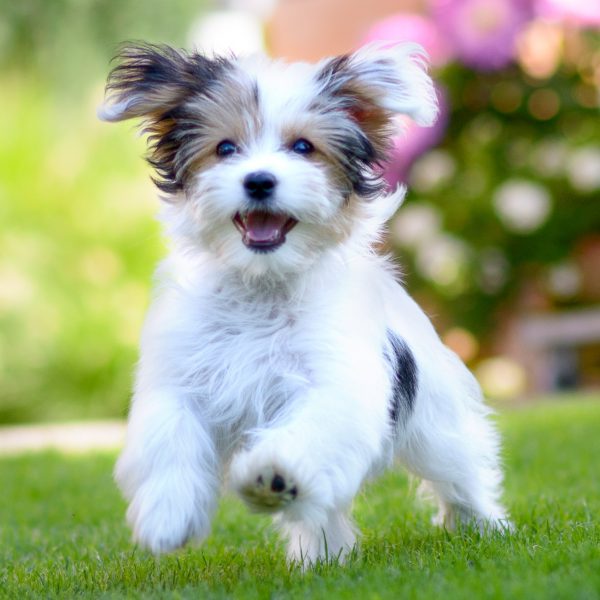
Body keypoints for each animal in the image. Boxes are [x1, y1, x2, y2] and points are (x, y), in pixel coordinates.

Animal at [101, 43, 508, 568]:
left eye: (303, 148)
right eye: (225, 148)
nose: (258, 181)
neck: (262, 284)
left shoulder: (337, 382)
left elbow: (314, 427)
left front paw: (274, 474)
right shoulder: (181, 377)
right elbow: (171, 436)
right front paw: (167, 515)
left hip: (436, 422)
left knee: (459, 467)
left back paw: (483, 524)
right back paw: (322, 555)